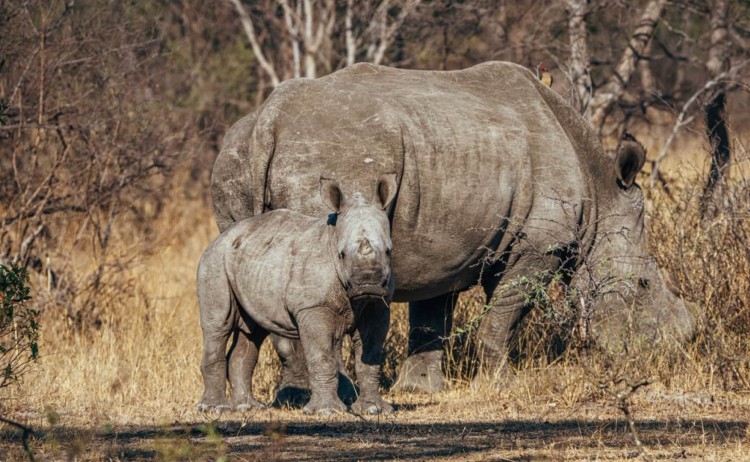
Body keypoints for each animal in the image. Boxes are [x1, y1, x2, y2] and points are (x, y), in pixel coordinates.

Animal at [197, 175, 397, 415]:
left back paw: (248, 407)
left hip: (250, 259)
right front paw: (326, 411)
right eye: (341, 254)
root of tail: (219, 238)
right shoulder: (312, 307)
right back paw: (215, 408)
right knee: (218, 326)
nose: (368, 285)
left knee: (252, 332)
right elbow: (322, 357)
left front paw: (374, 409)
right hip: (214, 260)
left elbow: (370, 357)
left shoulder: (378, 305)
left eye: (388, 251)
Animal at [210, 61, 695, 397]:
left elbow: (431, 317)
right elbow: (504, 318)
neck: (600, 195)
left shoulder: (441, 240)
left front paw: (421, 388)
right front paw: (503, 385)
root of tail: (269, 119)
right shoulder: (538, 245)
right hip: (336, 157)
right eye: (645, 285)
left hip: (233, 157)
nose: (682, 341)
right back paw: (335, 396)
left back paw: (294, 397)